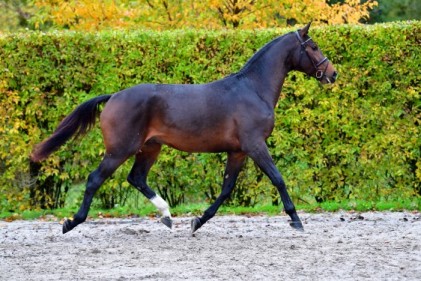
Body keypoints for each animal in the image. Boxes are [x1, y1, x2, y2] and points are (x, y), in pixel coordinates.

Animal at [30, 21, 338, 233]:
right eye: (313, 46)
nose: (332, 74)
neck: (253, 89)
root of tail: (114, 96)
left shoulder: (238, 151)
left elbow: (226, 189)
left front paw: (198, 220)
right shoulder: (255, 145)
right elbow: (278, 178)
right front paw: (296, 220)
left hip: (149, 148)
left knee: (136, 178)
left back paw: (167, 216)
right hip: (120, 149)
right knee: (96, 179)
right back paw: (72, 222)